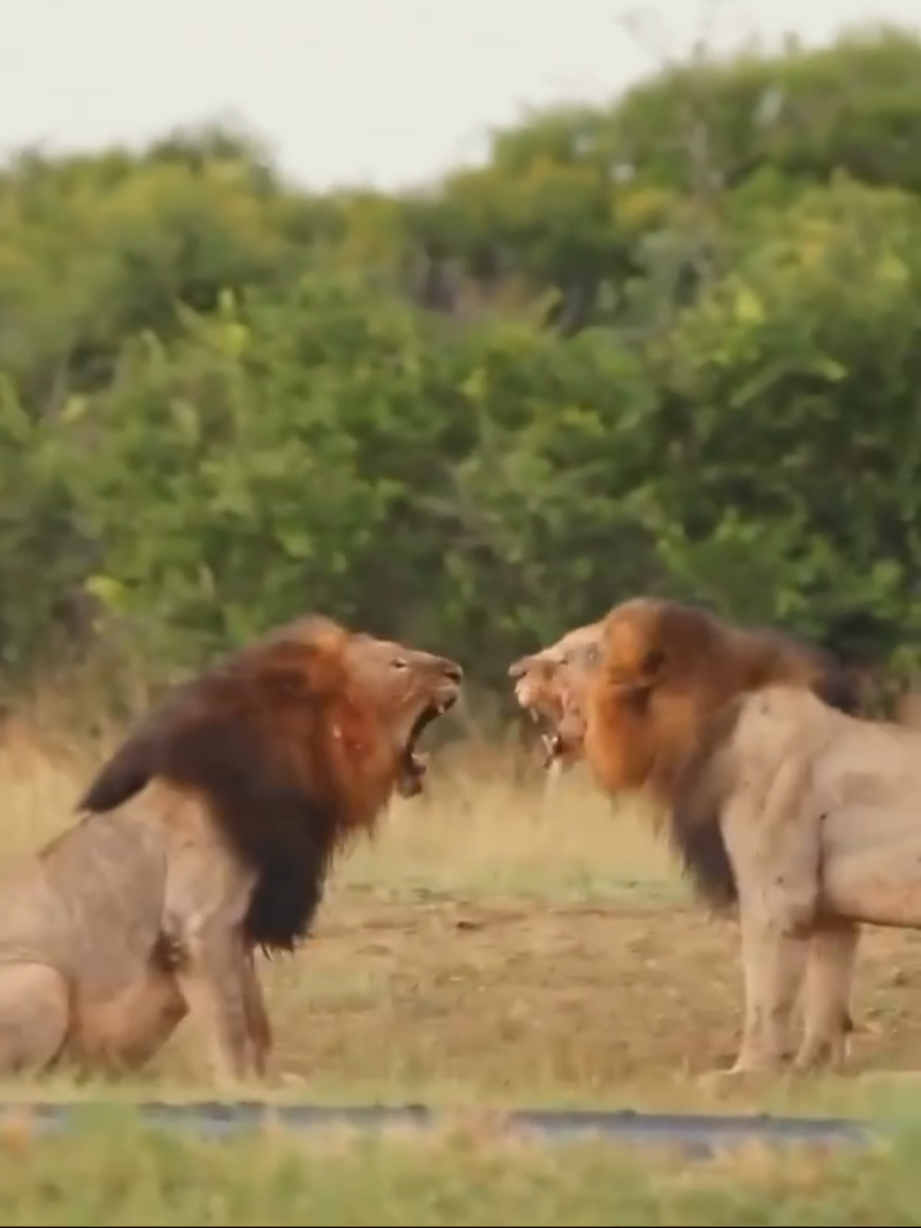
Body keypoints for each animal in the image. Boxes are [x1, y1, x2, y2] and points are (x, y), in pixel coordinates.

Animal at [0, 615, 462, 1085]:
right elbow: (231, 1020)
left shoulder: (239, 928)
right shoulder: (201, 923)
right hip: (41, 981)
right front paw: (240, 1084)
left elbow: (256, 1016)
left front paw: (272, 1082)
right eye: (398, 664)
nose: (456, 672)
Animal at [672, 682, 921, 1074]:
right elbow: (828, 984)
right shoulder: (831, 907)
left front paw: (747, 1071)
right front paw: (816, 1068)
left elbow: (765, 982)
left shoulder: (781, 890)